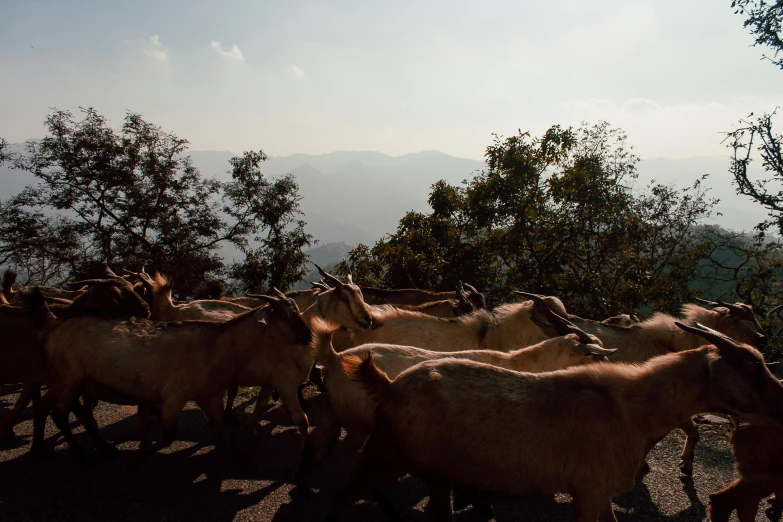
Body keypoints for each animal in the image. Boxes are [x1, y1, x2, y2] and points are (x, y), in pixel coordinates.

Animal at [326, 320, 783, 520]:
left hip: (437, 470)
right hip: (383, 450)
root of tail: (389, 385)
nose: (781, 401)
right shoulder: (590, 489)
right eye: (751, 367)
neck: (630, 407)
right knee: (342, 496)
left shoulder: (596, 493)